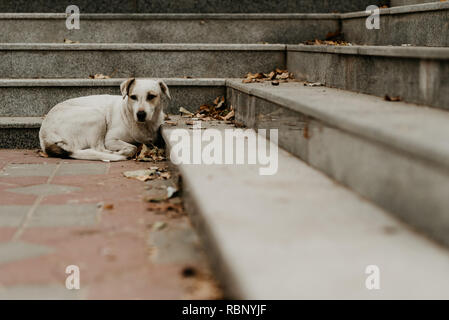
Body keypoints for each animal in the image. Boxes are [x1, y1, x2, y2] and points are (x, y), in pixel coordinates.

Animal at [39, 79, 170, 161]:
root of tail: (45, 136)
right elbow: (131, 147)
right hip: (97, 115)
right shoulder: (110, 140)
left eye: (151, 96)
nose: (140, 114)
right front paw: (124, 151)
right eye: (133, 97)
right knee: (97, 148)